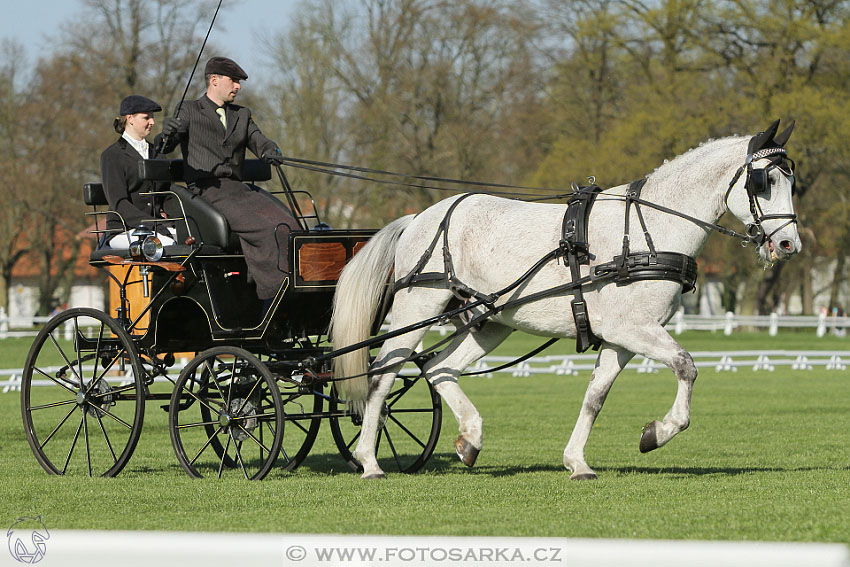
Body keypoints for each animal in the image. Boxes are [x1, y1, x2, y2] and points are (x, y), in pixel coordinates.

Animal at [328, 120, 800, 480]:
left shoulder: (621, 340)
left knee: (440, 368)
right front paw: (658, 432)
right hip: (417, 309)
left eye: (792, 180)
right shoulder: (635, 329)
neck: (646, 232)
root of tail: (419, 218)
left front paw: (578, 462)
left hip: (490, 321)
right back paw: (370, 462)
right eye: (765, 181)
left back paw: (470, 440)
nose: (789, 244)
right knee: (383, 374)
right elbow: (686, 367)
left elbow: (595, 398)